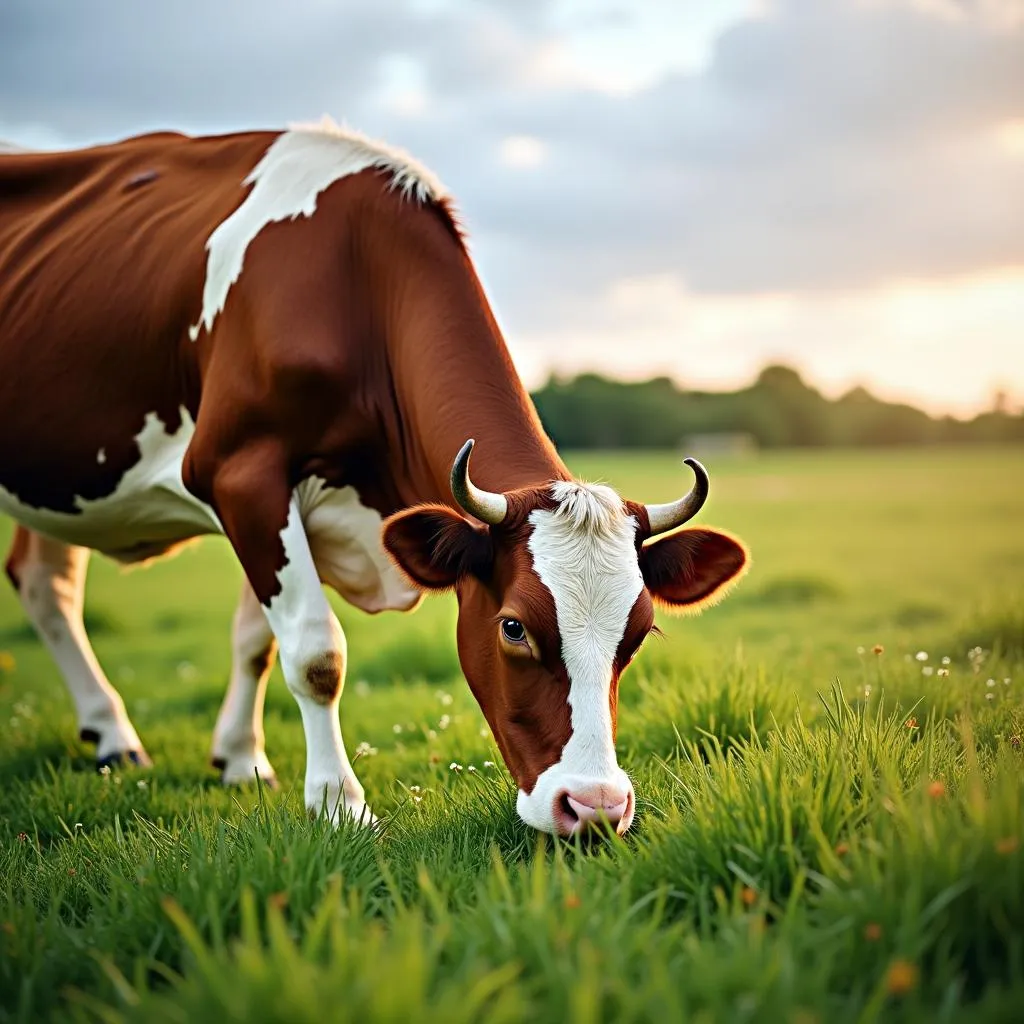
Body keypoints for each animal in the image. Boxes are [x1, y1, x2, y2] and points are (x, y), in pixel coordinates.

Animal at [0, 119, 753, 835]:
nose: (594, 807)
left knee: (44, 582)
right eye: (513, 627)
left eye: (640, 632)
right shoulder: (239, 471)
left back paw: (110, 735)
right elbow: (313, 652)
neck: (356, 282)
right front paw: (339, 805)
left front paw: (241, 760)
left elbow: (255, 640)